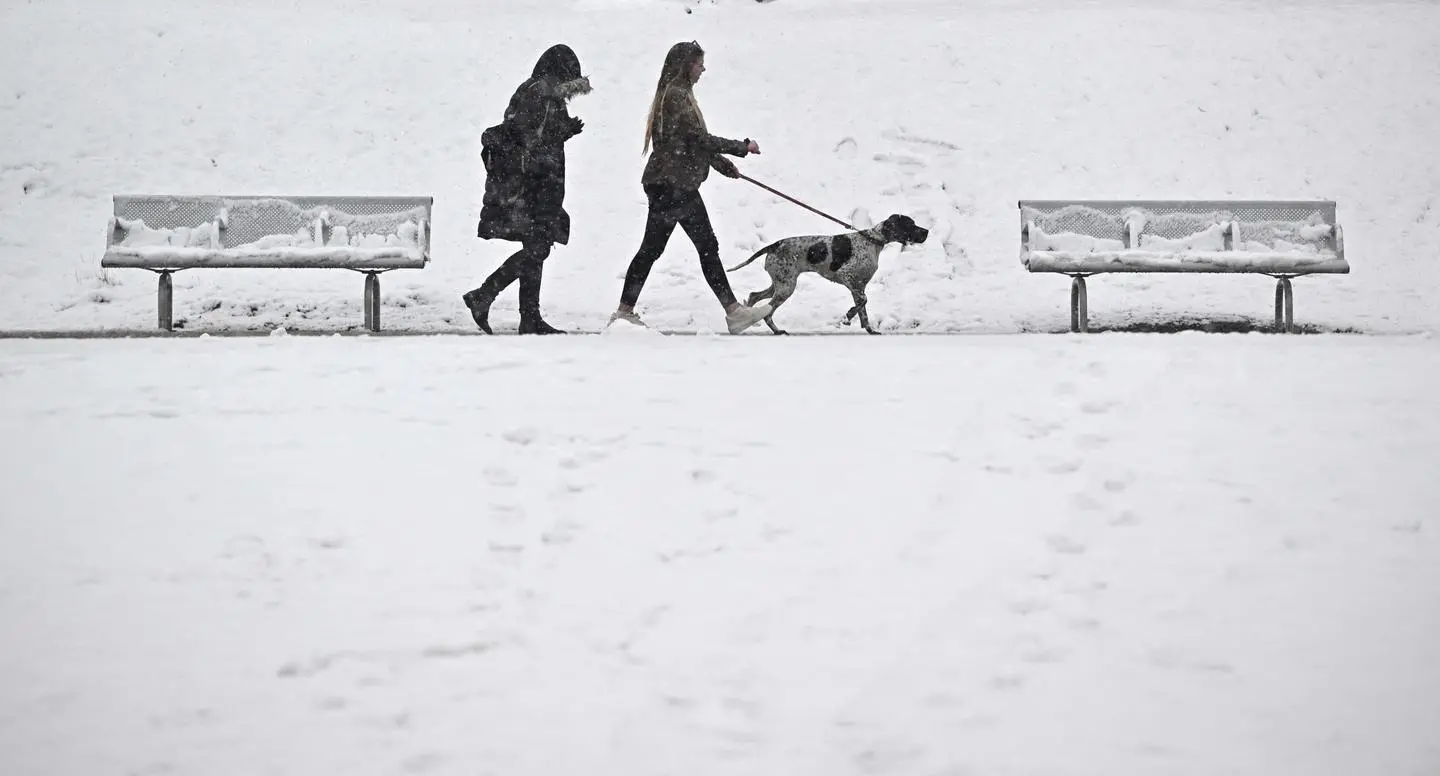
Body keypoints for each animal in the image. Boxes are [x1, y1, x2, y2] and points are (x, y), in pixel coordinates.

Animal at [720, 213, 933, 334]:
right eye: (911, 224)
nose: (927, 232)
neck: (873, 240)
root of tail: (775, 245)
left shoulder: (858, 287)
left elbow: (863, 311)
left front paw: (869, 329)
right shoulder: (849, 278)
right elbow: (863, 303)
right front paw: (848, 316)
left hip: (780, 284)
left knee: (754, 296)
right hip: (786, 287)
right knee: (768, 312)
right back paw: (776, 330)